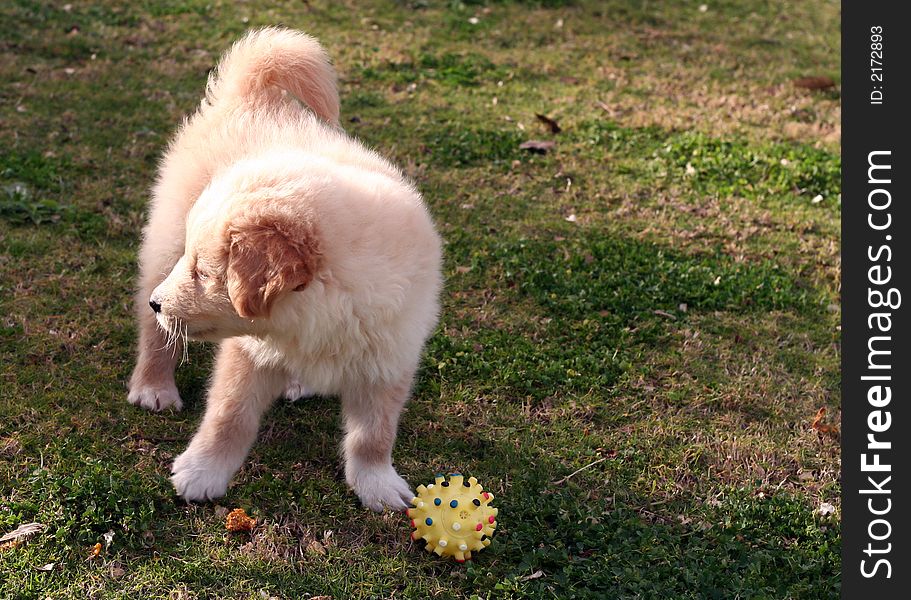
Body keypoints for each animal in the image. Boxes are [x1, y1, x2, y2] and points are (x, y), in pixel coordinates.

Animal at [125, 25, 446, 508]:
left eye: (204, 274)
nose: (158, 303)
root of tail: (255, 94)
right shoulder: (246, 354)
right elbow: (229, 417)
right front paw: (201, 474)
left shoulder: (389, 359)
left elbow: (374, 435)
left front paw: (378, 486)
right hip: (163, 242)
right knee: (155, 338)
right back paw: (154, 386)